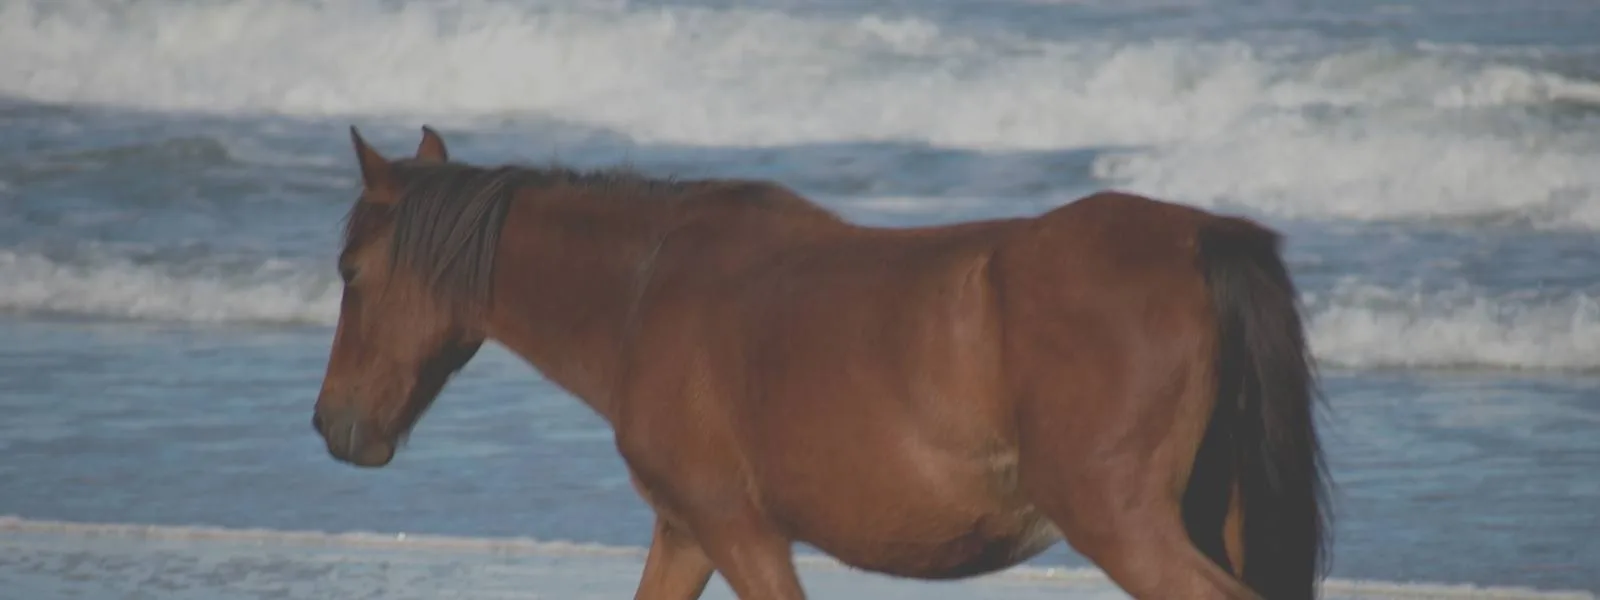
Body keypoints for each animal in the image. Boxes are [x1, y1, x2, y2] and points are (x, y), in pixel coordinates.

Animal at [311, 125, 1331, 600]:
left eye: (351, 272)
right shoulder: (686, 532)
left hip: (1124, 524)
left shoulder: (741, 530)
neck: (645, 291)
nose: (332, 425)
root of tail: (1201, 236)